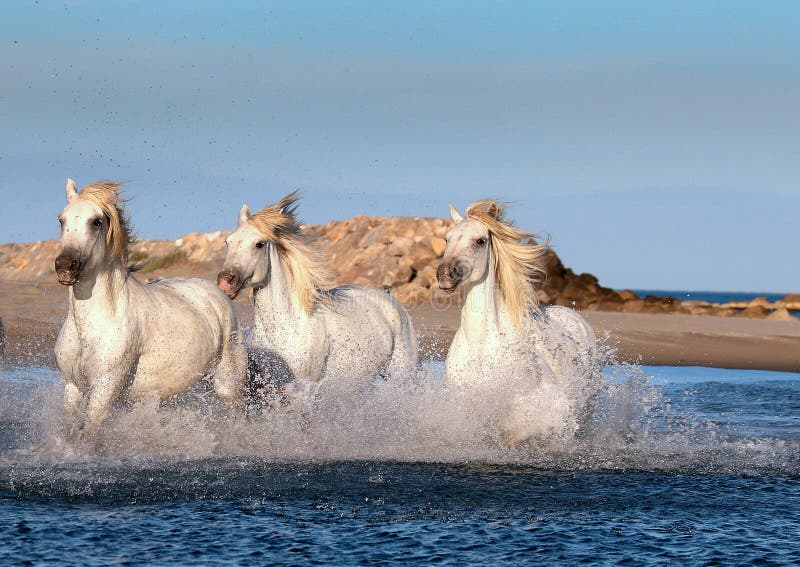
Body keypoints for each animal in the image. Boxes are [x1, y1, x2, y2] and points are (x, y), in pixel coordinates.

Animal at [54, 180, 245, 438]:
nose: (65, 267)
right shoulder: (73, 386)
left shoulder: (104, 389)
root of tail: (218, 294)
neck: (89, 328)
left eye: (96, 221)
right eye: (61, 220)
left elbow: (86, 435)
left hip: (227, 384)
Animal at [219, 193, 418, 402]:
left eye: (259, 244)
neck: (288, 327)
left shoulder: (304, 391)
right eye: (228, 242)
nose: (225, 281)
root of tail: (392, 303)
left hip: (401, 376)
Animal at [434, 201, 596, 448]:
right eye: (446, 239)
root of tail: (576, 318)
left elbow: (512, 434)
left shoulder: (527, 402)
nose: (444, 274)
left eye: (480, 241)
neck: (481, 345)